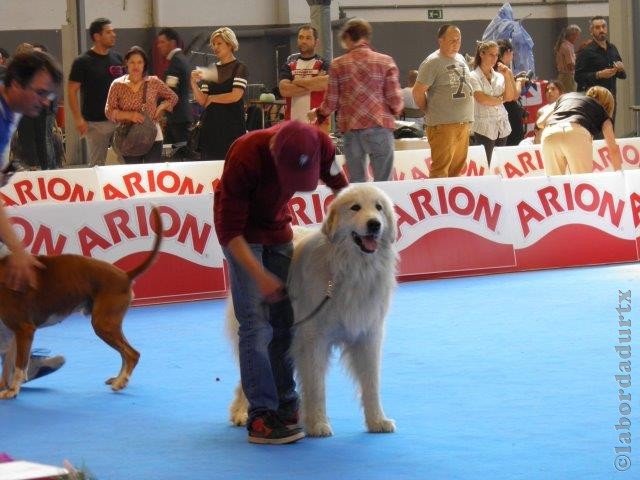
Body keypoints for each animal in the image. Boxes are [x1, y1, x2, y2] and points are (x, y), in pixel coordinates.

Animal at [0, 206, 162, 398]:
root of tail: (124, 275)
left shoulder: (24, 330)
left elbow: (18, 366)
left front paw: (12, 390)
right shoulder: (14, 333)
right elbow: (8, 366)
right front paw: (6, 386)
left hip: (103, 324)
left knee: (132, 354)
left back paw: (121, 382)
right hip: (108, 323)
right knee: (126, 353)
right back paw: (119, 379)